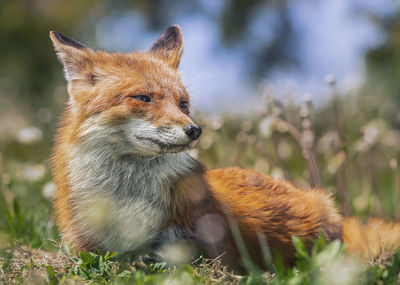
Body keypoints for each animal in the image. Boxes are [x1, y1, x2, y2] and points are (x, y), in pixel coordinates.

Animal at [49, 25, 400, 270]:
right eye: (143, 98)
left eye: (183, 103)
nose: (194, 130)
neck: (126, 201)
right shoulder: (86, 246)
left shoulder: (197, 245)